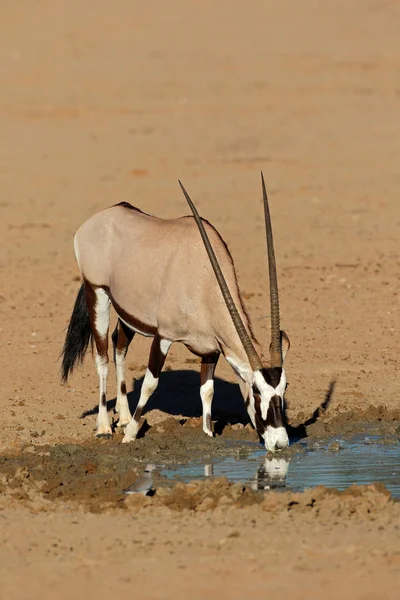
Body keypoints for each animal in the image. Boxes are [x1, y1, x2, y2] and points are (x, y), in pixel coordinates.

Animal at [60, 176, 290, 452]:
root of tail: (99, 218)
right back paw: (105, 427)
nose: (280, 443)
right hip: (97, 292)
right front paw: (131, 435)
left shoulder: (211, 348)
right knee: (102, 356)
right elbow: (150, 384)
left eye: (285, 386)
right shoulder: (164, 337)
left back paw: (123, 416)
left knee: (119, 346)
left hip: (128, 313)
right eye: (255, 389)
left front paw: (207, 434)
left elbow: (207, 390)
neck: (203, 277)